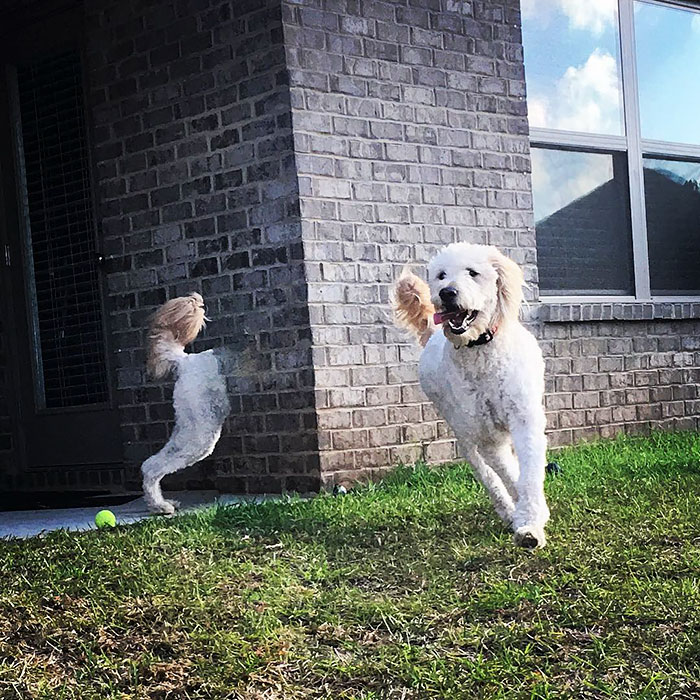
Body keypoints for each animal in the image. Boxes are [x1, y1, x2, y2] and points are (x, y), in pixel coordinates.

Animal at [139, 292, 230, 516]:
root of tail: (185, 361)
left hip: (188, 428)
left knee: (149, 464)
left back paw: (158, 503)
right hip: (202, 434)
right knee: (153, 466)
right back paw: (161, 506)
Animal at [394, 243, 552, 548]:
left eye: (473, 272)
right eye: (441, 275)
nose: (447, 293)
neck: (481, 350)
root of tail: (433, 334)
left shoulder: (525, 420)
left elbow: (528, 475)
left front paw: (531, 521)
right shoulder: (487, 436)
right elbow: (511, 475)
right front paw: (526, 517)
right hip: (464, 432)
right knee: (488, 476)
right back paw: (507, 510)